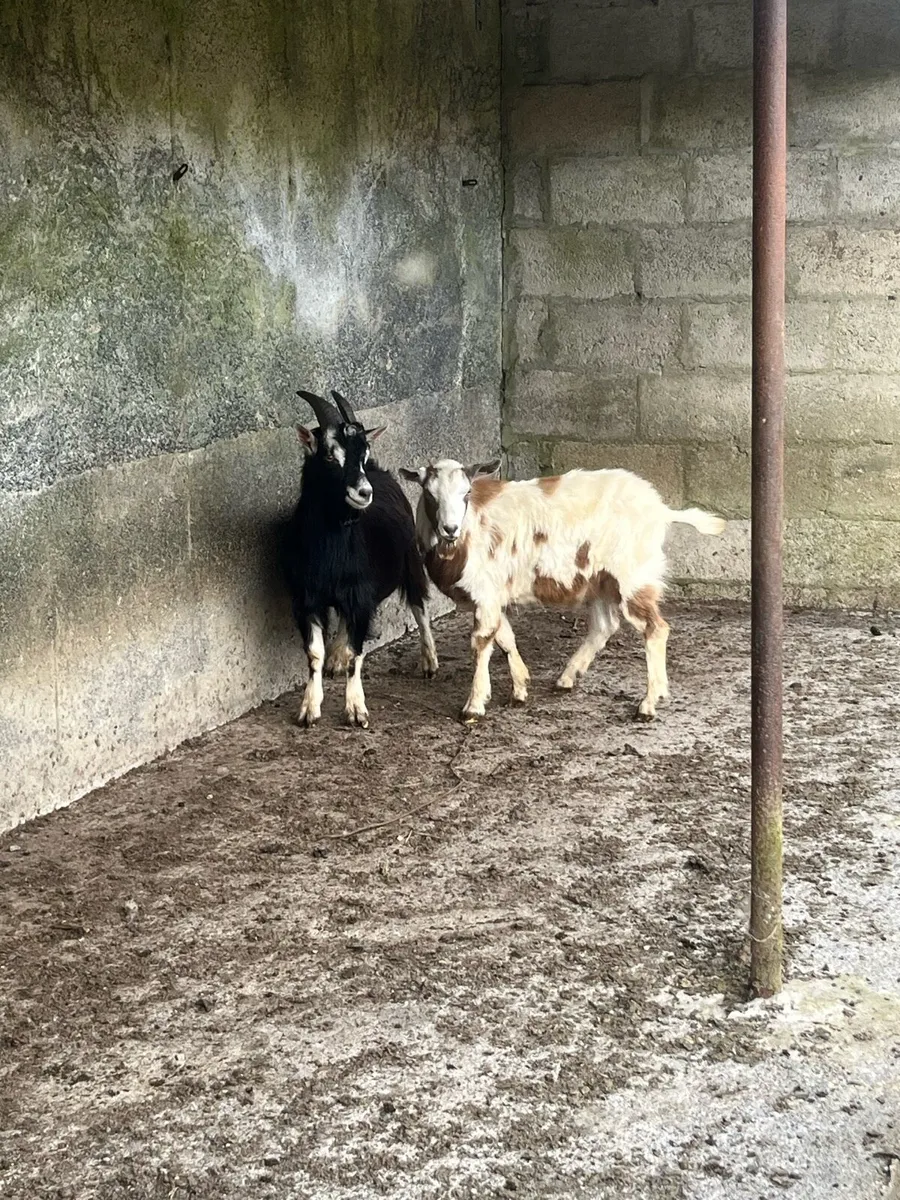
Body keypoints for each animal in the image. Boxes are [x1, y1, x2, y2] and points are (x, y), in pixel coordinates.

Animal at [282, 389, 438, 729]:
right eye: (329, 455)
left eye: (363, 455)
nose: (364, 492)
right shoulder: (307, 598)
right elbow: (314, 653)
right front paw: (309, 708)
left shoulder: (361, 595)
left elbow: (358, 652)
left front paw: (356, 709)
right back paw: (336, 657)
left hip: (410, 559)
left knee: (419, 604)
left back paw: (429, 661)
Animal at [400, 460, 725, 722]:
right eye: (429, 495)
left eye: (467, 493)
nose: (450, 528)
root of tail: (662, 510)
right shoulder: (491, 595)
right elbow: (504, 636)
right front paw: (520, 688)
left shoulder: (485, 592)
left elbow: (482, 642)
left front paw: (473, 707)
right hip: (601, 580)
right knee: (605, 626)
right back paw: (568, 678)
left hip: (633, 577)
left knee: (655, 628)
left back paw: (648, 704)